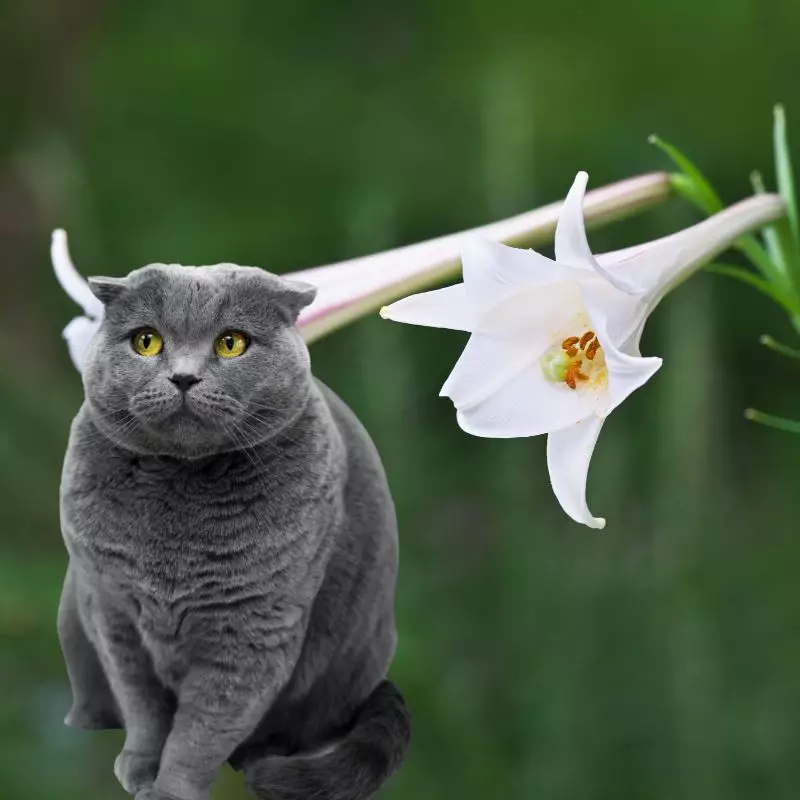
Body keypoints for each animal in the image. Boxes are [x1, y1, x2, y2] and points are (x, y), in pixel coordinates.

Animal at [56, 262, 412, 800]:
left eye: (231, 343)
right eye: (146, 341)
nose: (183, 376)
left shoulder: (252, 629)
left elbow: (202, 729)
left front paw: (168, 790)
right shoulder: (113, 613)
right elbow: (142, 707)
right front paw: (139, 766)